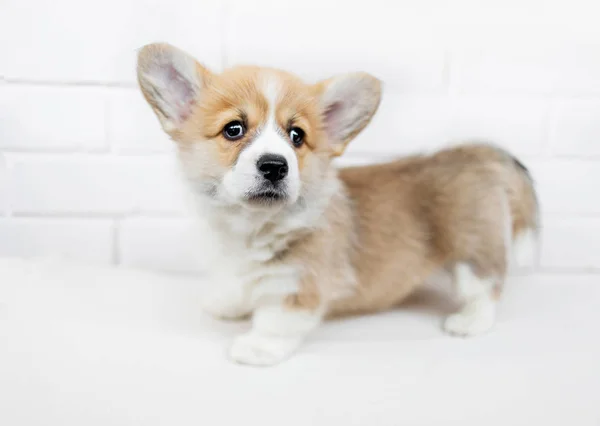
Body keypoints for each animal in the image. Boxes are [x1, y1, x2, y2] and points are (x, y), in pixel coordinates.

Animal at [138, 42, 540, 366]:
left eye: (297, 136)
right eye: (233, 129)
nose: (275, 166)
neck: (251, 225)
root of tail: (479, 153)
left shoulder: (299, 282)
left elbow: (276, 320)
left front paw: (257, 348)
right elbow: (236, 286)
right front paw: (225, 304)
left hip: (473, 251)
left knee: (487, 286)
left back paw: (470, 321)